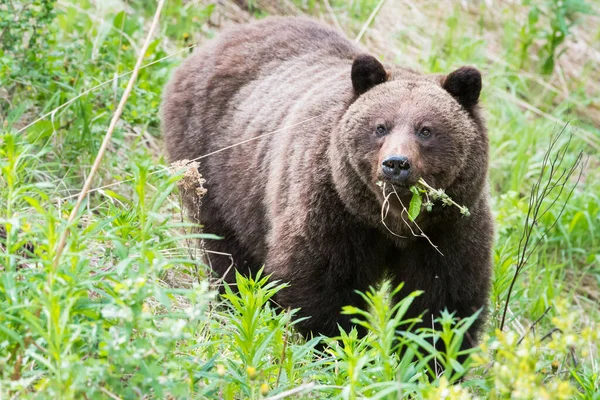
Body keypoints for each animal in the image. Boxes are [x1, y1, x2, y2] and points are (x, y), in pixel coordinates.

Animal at [163, 15, 492, 348]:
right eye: (380, 127)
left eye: (425, 130)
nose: (395, 164)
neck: (392, 221)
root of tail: (217, 41)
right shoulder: (333, 211)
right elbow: (323, 285)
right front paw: (337, 343)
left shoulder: (448, 227)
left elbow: (442, 299)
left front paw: (429, 352)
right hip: (216, 170)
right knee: (229, 252)